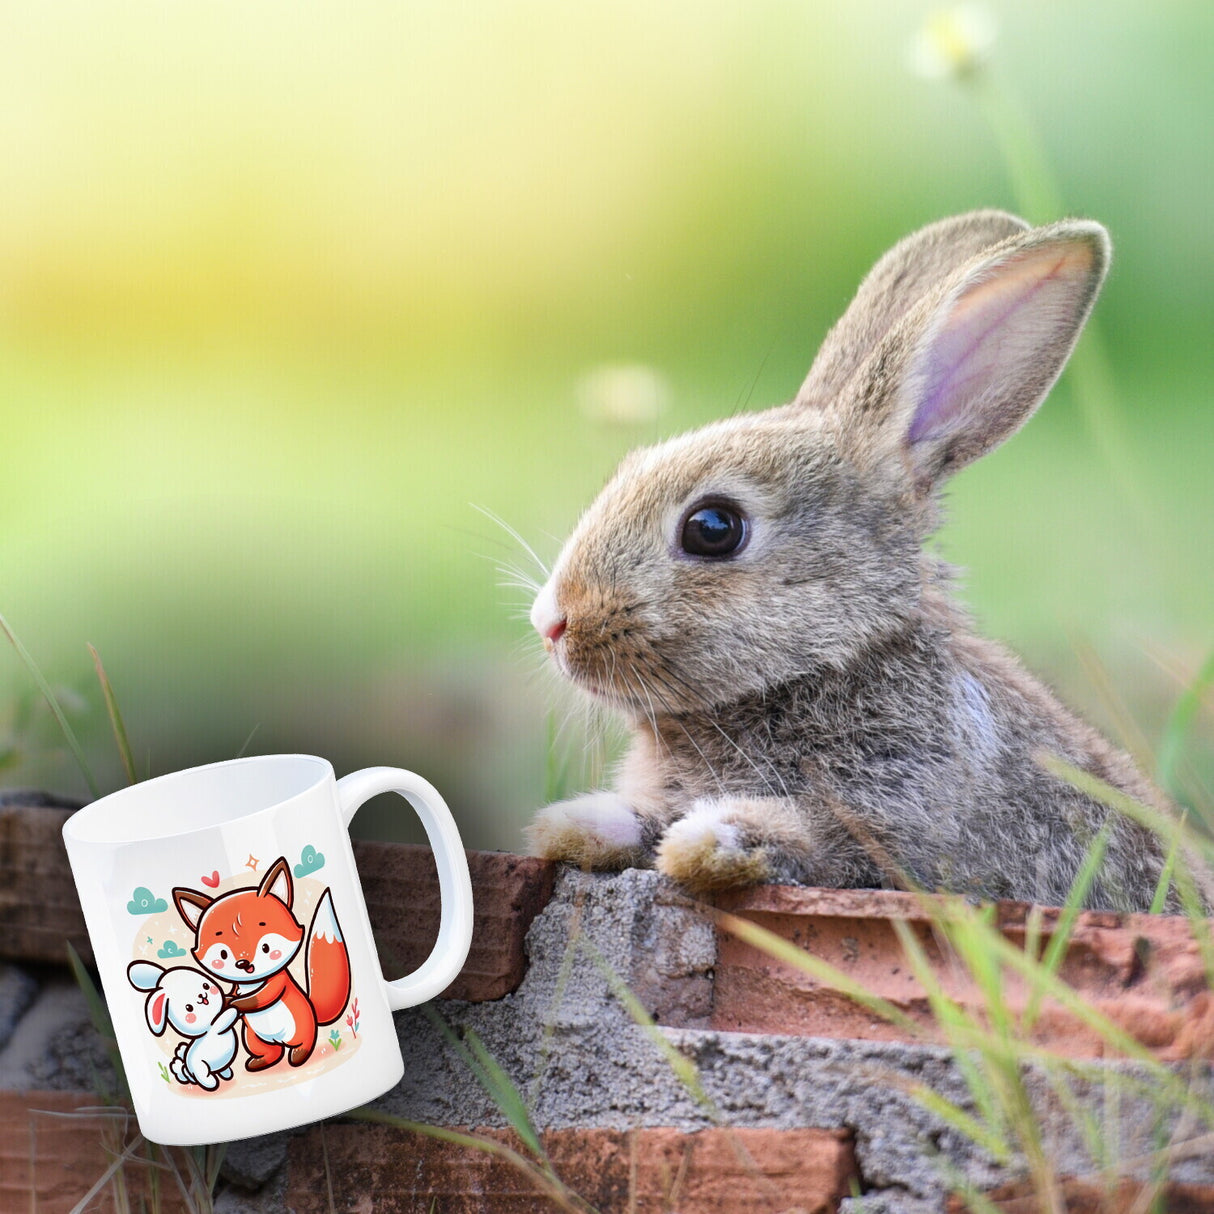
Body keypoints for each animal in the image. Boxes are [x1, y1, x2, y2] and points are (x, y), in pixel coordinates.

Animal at [128, 960, 240, 1091]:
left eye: (205, 985)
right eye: (188, 1008)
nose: (202, 996)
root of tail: (188, 1069)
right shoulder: (215, 1028)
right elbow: (223, 1019)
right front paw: (232, 1010)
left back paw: (226, 1074)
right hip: (201, 1067)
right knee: (205, 1076)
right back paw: (211, 1082)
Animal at [172, 857, 351, 1072]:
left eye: (266, 947)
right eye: (223, 954)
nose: (243, 963)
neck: (251, 983)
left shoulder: (277, 982)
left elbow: (259, 998)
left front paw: (233, 1003)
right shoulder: (237, 987)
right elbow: (235, 994)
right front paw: (227, 1000)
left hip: (300, 1030)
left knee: (303, 1044)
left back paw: (298, 1056)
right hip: (253, 1038)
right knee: (273, 1053)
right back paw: (260, 1062)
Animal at [525, 209, 1179, 913]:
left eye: (713, 528)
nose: (552, 622)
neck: (829, 663)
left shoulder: (898, 825)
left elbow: (815, 841)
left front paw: (711, 841)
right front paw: (575, 824)